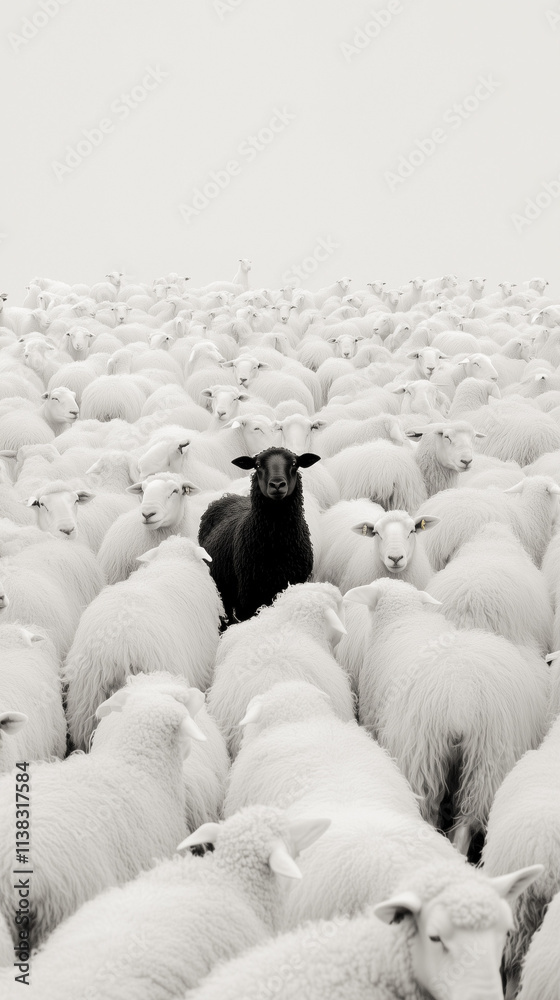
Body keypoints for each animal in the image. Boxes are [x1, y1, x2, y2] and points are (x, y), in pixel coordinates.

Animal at [199, 447, 321, 623]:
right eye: (257, 465)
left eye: (294, 463)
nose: (277, 484)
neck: (277, 544)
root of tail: (227, 496)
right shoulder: (248, 601)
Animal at [344, 579, 550, 855]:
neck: (403, 617)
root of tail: (463, 704)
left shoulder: (371, 717)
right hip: (487, 762)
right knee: (465, 823)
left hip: (423, 755)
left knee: (429, 814)